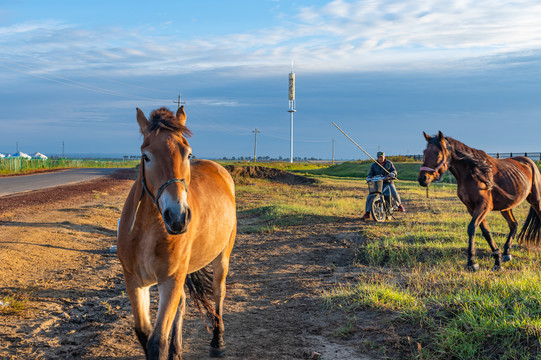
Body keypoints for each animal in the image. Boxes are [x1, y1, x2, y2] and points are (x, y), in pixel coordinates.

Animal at [117, 107, 235, 360]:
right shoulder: (134, 281)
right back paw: (177, 350)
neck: (148, 233)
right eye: (146, 156)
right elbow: (144, 334)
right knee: (182, 303)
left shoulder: (170, 280)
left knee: (218, 292)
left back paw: (217, 341)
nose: (177, 216)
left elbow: (157, 342)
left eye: (188, 154)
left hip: (222, 256)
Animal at [418, 131, 540, 272]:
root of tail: (530, 162)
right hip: (506, 207)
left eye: (437, 153)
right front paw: (497, 260)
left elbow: (472, 228)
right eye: (424, 152)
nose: (422, 179)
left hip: (536, 201)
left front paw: (472, 262)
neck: (473, 174)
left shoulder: (484, 206)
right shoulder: (472, 208)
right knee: (513, 225)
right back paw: (506, 253)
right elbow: (485, 231)